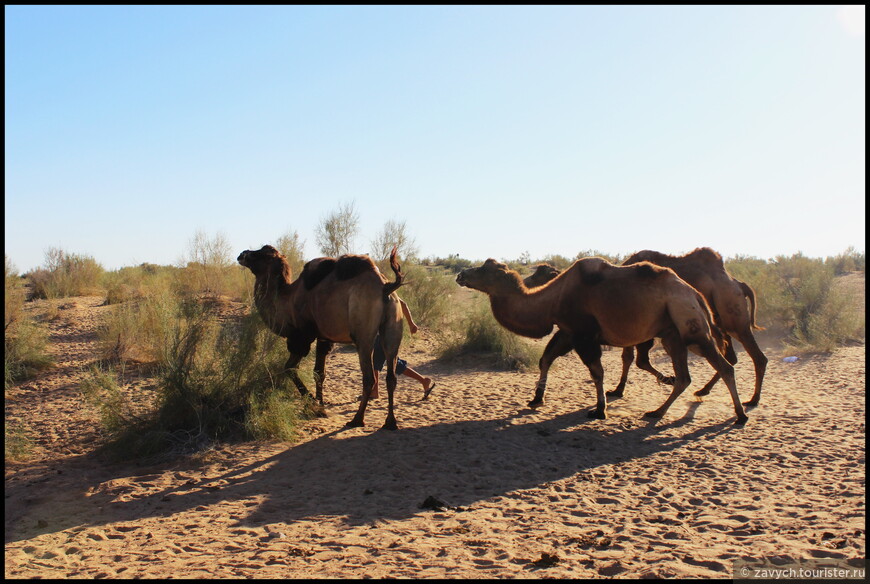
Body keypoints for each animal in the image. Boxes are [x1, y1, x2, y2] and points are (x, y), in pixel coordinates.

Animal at [235, 244, 406, 432]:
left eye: (263, 255)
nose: (242, 254)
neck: (286, 299)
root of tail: (386, 288)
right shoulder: (324, 337)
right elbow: (319, 372)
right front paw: (321, 403)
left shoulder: (301, 337)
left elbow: (289, 368)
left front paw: (315, 406)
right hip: (393, 328)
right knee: (391, 376)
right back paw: (390, 422)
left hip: (363, 335)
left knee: (369, 377)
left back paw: (357, 420)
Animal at [456, 258, 748, 422]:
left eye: (484, 269)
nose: (461, 275)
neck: (551, 298)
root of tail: (696, 294)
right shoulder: (568, 331)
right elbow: (545, 359)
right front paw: (536, 399)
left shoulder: (583, 334)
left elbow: (596, 371)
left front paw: (599, 409)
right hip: (671, 333)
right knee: (685, 377)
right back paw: (657, 411)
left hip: (690, 326)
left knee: (724, 366)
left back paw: (740, 415)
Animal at [528, 249, 768, 408]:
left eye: (540, 273)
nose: (526, 281)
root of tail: (739, 283)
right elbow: (631, 358)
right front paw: (620, 389)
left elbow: (634, 359)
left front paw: (621, 389)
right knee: (730, 354)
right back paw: (705, 390)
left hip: (732, 316)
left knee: (755, 355)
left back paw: (752, 399)